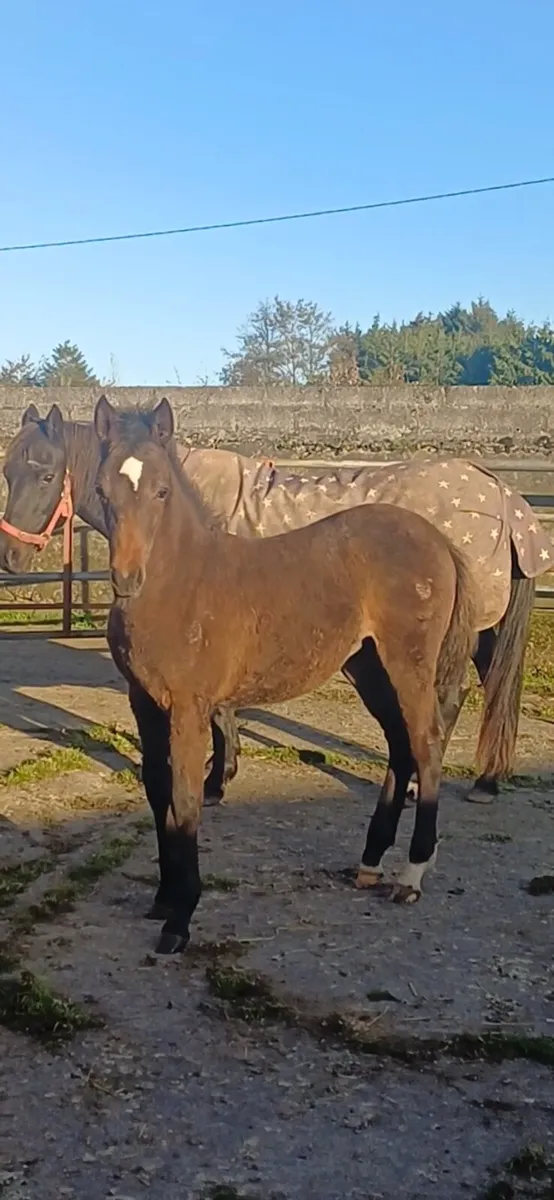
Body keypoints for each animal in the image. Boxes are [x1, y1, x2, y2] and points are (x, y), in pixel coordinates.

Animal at [0, 400, 550, 803]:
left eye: (46, 476)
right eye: (8, 473)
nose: (10, 555)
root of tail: (500, 490)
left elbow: (222, 716)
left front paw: (217, 778)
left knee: (453, 696)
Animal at [92, 394, 477, 953]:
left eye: (162, 491)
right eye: (102, 490)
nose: (126, 578)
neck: (182, 585)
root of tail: (439, 540)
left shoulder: (189, 708)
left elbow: (185, 799)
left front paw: (180, 918)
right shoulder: (143, 701)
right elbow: (157, 789)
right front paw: (163, 898)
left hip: (410, 663)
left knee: (425, 743)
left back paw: (411, 875)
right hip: (367, 666)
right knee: (401, 745)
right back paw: (370, 862)